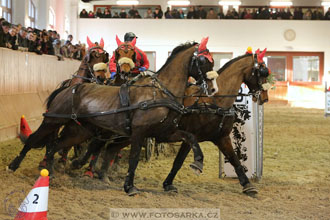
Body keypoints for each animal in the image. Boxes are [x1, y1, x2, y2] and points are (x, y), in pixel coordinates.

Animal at [8, 40, 217, 195]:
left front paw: (198, 162)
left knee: (56, 145)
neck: (160, 92)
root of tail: (69, 87)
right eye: (202, 61)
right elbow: (133, 159)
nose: (213, 88)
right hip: (53, 121)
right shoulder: (139, 132)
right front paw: (129, 186)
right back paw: (14, 165)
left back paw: (52, 171)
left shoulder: (163, 132)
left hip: (79, 131)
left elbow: (190, 137)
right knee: (35, 139)